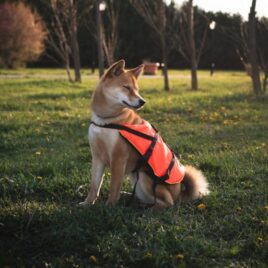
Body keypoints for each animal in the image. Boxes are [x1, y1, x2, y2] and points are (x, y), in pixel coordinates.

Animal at [79, 60, 209, 209]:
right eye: (126, 87)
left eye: (137, 89)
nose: (142, 101)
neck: (107, 120)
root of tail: (178, 195)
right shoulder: (97, 157)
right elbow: (94, 185)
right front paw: (88, 203)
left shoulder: (118, 158)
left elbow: (113, 187)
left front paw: (110, 206)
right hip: (135, 178)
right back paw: (135, 200)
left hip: (144, 177)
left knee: (167, 202)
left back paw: (150, 208)